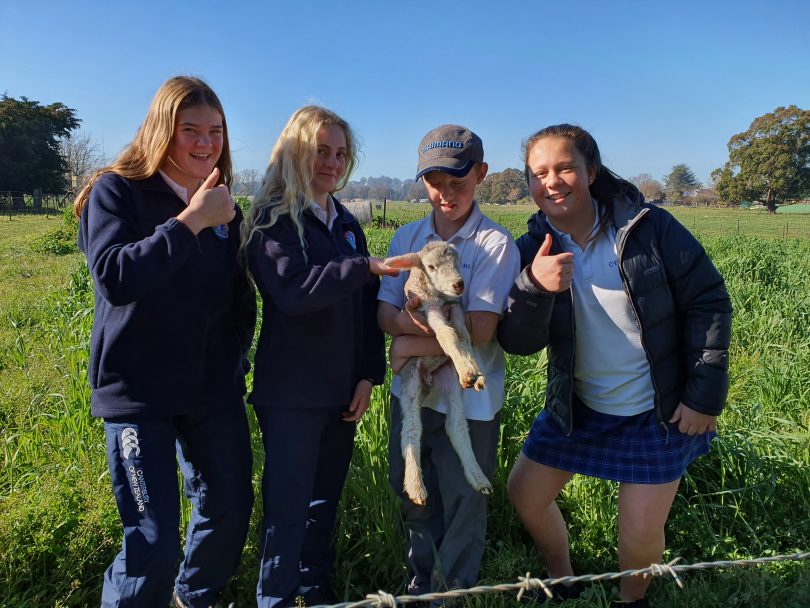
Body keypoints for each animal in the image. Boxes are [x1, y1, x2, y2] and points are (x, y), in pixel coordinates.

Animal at [386, 240, 492, 506]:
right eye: (431, 266)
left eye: (458, 261)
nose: (459, 284)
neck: (438, 296)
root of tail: (427, 381)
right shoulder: (429, 311)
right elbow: (446, 335)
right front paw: (469, 368)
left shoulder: (455, 310)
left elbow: (464, 337)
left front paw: (474, 372)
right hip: (410, 379)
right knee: (411, 429)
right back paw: (416, 486)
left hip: (449, 379)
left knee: (456, 425)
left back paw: (478, 478)